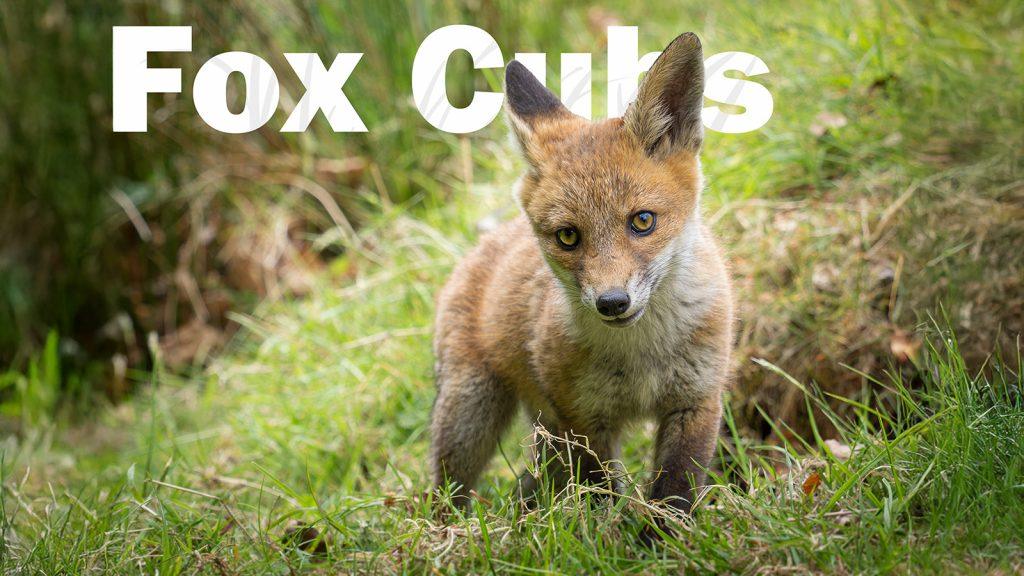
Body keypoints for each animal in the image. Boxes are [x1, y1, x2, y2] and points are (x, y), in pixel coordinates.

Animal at [430, 32, 734, 538]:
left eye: (643, 221)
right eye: (568, 236)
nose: (612, 302)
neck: (640, 354)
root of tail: (488, 241)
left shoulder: (696, 399)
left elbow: (675, 489)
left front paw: (663, 541)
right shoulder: (583, 419)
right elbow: (602, 493)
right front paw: (609, 539)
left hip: (539, 432)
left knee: (532, 484)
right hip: (471, 416)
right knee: (446, 490)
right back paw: (444, 535)